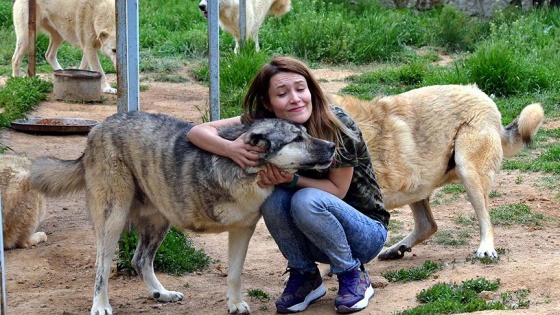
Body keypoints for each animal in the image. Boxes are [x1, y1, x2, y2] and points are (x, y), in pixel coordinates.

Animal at [30, 112, 334, 314]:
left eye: (306, 133)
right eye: (297, 138)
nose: (332, 146)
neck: (247, 172)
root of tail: (98, 128)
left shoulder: (242, 230)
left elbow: (235, 273)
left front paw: (235, 304)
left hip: (159, 222)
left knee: (140, 259)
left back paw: (161, 293)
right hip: (113, 218)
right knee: (101, 266)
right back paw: (101, 305)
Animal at [334, 84, 544, 262]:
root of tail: (481, 94)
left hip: (467, 171)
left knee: (484, 217)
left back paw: (486, 248)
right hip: (417, 185)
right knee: (428, 225)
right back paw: (396, 249)